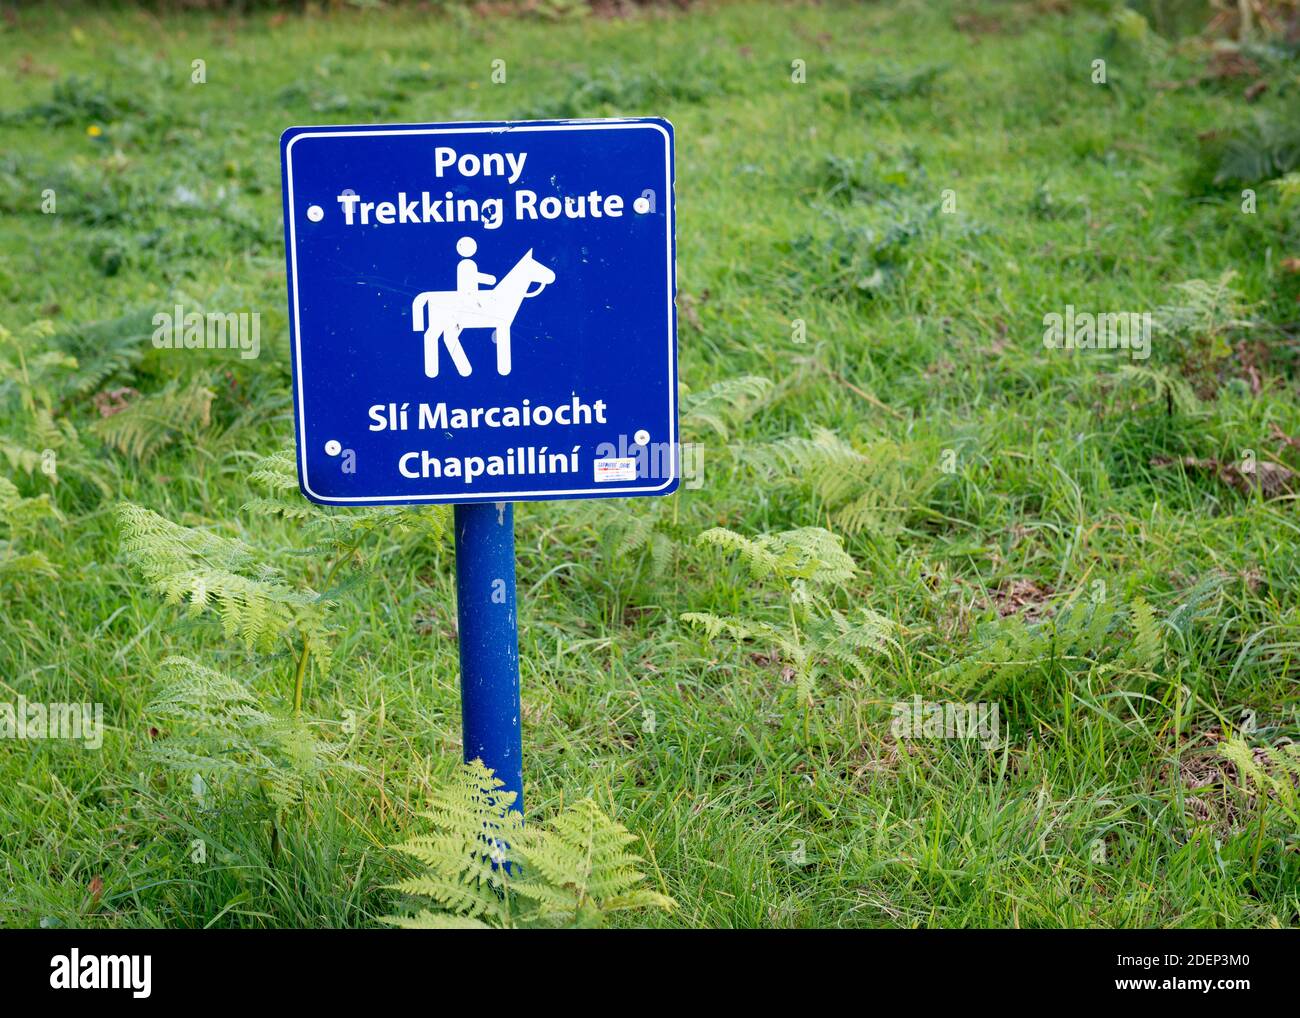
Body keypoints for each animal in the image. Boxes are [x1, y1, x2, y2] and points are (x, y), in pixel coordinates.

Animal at [411, 248, 556, 378]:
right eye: (538, 265)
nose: (553, 276)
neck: (503, 297)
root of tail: (429, 295)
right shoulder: (503, 326)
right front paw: (504, 369)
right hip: (441, 323)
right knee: (431, 336)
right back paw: (439, 371)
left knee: (447, 338)